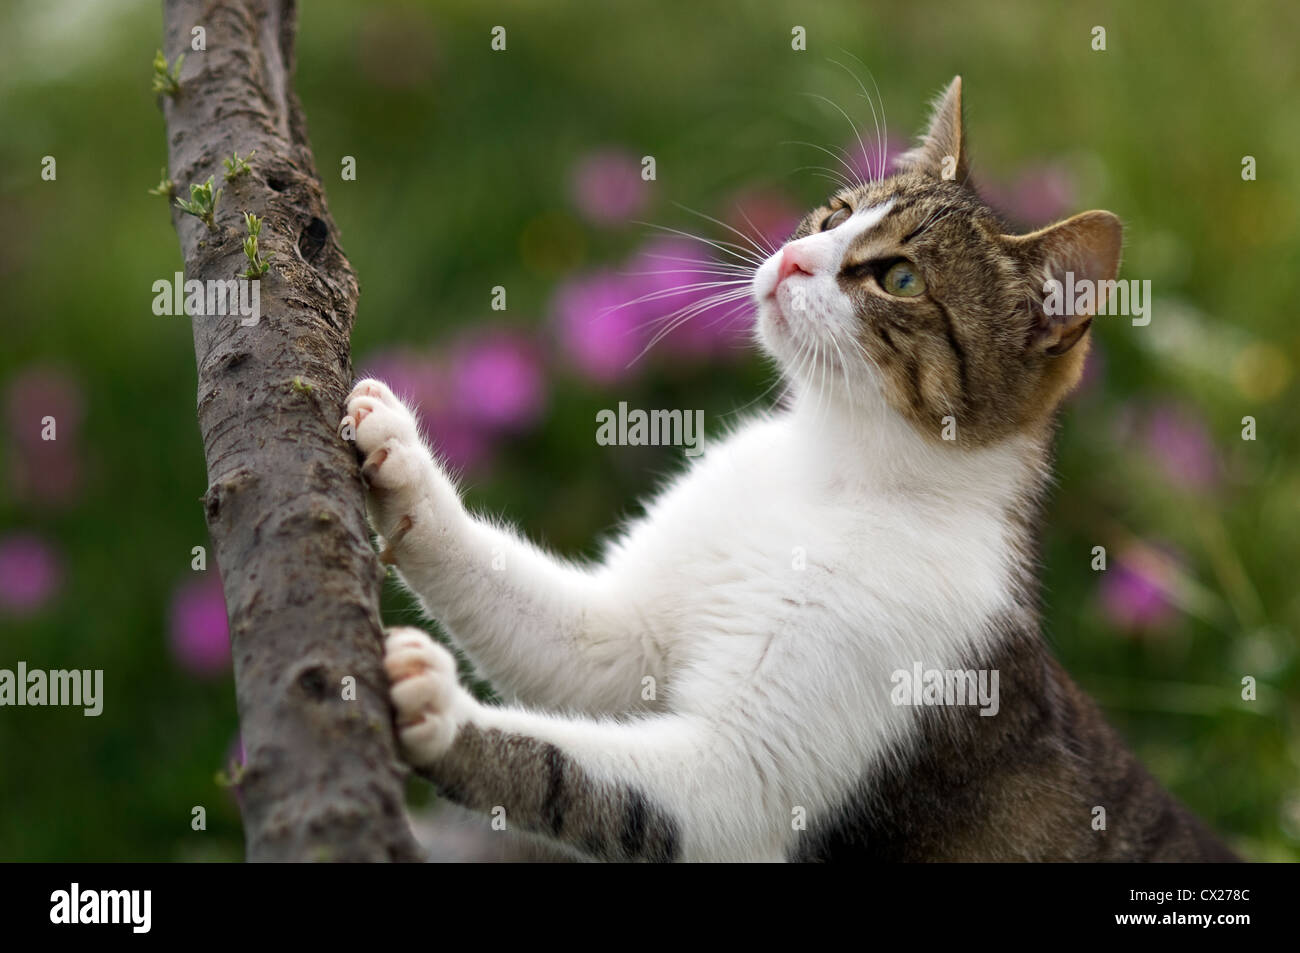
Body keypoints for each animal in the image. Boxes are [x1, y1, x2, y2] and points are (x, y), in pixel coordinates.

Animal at [340, 78, 1232, 858]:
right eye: (835, 214)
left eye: (899, 277)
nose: (796, 257)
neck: (827, 469)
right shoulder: (624, 641)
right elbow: (560, 630)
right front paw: (400, 461)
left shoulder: (751, 776)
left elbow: (580, 772)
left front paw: (440, 707)